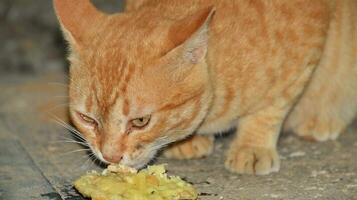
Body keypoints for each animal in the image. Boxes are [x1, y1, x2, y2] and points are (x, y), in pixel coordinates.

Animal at [53, 0, 356, 175]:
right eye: (87, 119)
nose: (110, 156)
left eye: (140, 121)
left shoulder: (307, 46)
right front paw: (189, 141)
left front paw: (253, 145)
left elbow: (271, 107)